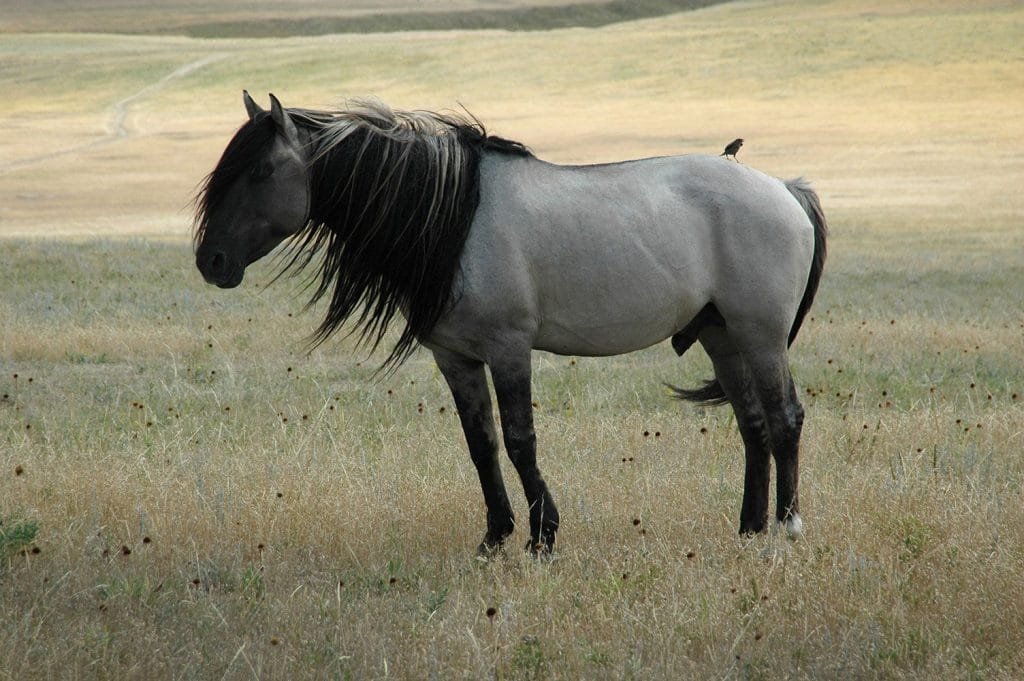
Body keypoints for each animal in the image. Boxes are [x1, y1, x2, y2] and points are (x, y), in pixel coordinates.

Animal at [194, 92, 827, 555]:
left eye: (263, 170)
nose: (211, 261)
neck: (455, 216)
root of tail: (785, 189)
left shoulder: (508, 349)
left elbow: (521, 440)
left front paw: (543, 538)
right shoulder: (455, 358)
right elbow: (482, 445)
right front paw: (494, 538)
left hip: (761, 337)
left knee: (785, 419)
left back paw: (788, 528)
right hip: (724, 338)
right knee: (752, 425)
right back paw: (748, 530)